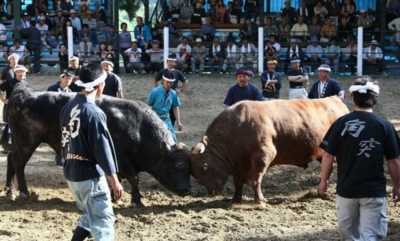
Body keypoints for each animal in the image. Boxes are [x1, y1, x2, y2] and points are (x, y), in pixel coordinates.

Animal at [3, 88, 191, 207]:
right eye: (180, 164)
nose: (187, 189)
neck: (138, 128)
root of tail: (22, 94)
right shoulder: (122, 160)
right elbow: (134, 178)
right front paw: (136, 201)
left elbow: (119, 177)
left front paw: (116, 197)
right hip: (27, 142)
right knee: (18, 162)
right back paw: (24, 192)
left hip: (20, 142)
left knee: (10, 158)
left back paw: (10, 190)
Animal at [189, 96, 348, 203]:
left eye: (205, 166)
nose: (213, 192)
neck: (238, 126)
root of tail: (334, 99)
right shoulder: (240, 163)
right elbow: (238, 182)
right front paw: (235, 199)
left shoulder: (263, 155)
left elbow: (253, 180)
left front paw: (260, 201)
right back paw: (322, 192)